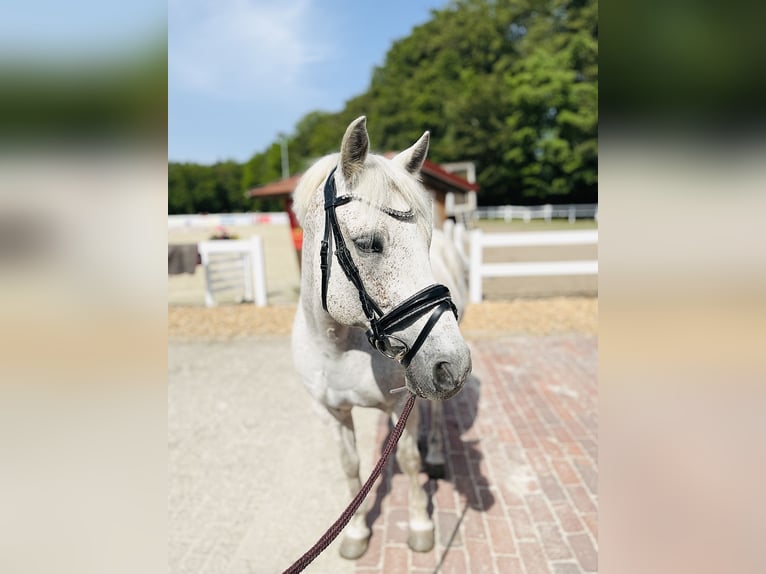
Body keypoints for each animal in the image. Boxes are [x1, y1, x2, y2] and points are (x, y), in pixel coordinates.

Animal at [291, 116, 472, 559]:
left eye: (426, 241)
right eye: (368, 244)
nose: (454, 365)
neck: (339, 349)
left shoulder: (401, 404)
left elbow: (407, 460)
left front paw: (421, 527)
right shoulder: (334, 413)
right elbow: (351, 466)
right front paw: (356, 533)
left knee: (434, 414)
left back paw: (435, 451)